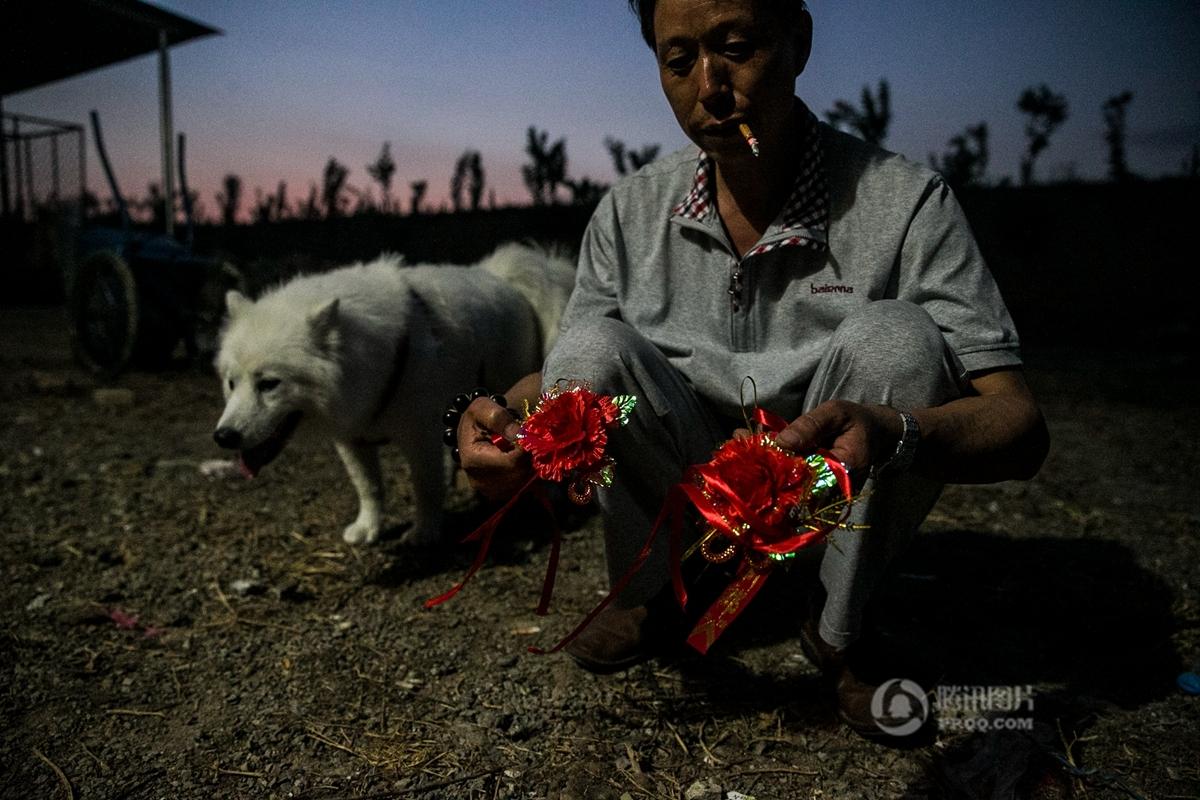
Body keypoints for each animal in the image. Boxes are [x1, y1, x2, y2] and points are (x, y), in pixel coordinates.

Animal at [214, 241, 576, 546]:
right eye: (231, 383)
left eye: (269, 384)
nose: (223, 436)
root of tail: (502, 276)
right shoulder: (352, 439)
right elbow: (369, 487)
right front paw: (368, 528)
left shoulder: (419, 436)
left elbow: (425, 486)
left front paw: (425, 533)